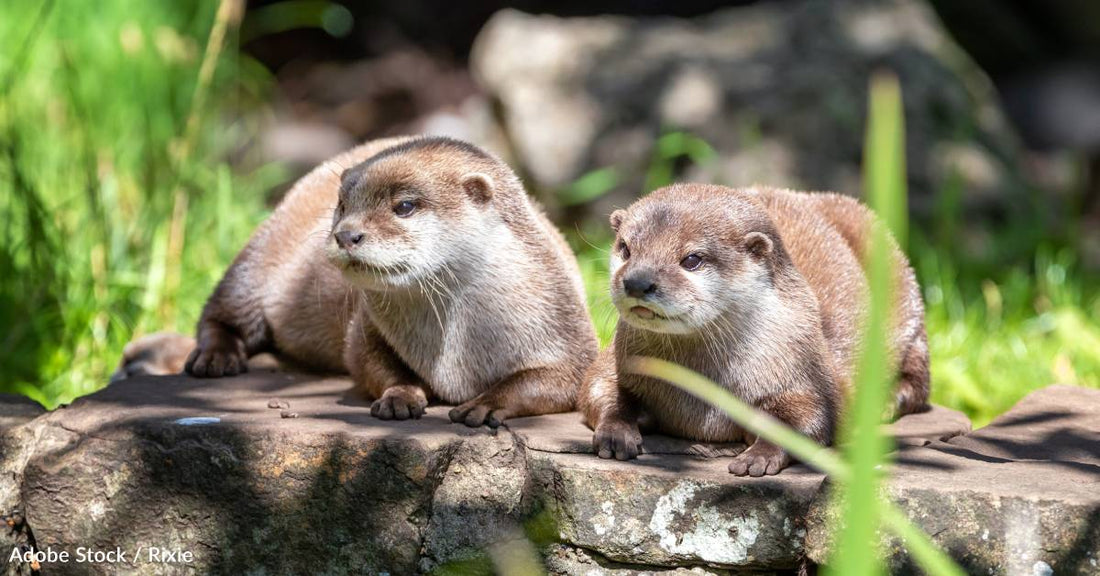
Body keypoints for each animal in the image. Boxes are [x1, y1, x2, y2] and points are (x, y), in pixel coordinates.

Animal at [120, 136, 597, 426]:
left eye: (404, 206)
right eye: (342, 204)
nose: (346, 234)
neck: (463, 343)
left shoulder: (566, 325)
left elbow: (554, 381)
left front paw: (485, 402)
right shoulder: (365, 326)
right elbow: (367, 361)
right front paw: (401, 396)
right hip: (260, 254)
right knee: (222, 309)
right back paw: (216, 357)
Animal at [580, 184, 929, 476]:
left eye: (692, 259)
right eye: (625, 248)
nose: (637, 282)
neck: (697, 396)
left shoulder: (805, 368)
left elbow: (812, 417)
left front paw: (757, 456)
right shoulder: (619, 357)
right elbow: (597, 387)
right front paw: (616, 433)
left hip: (905, 291)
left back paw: (884, 404)